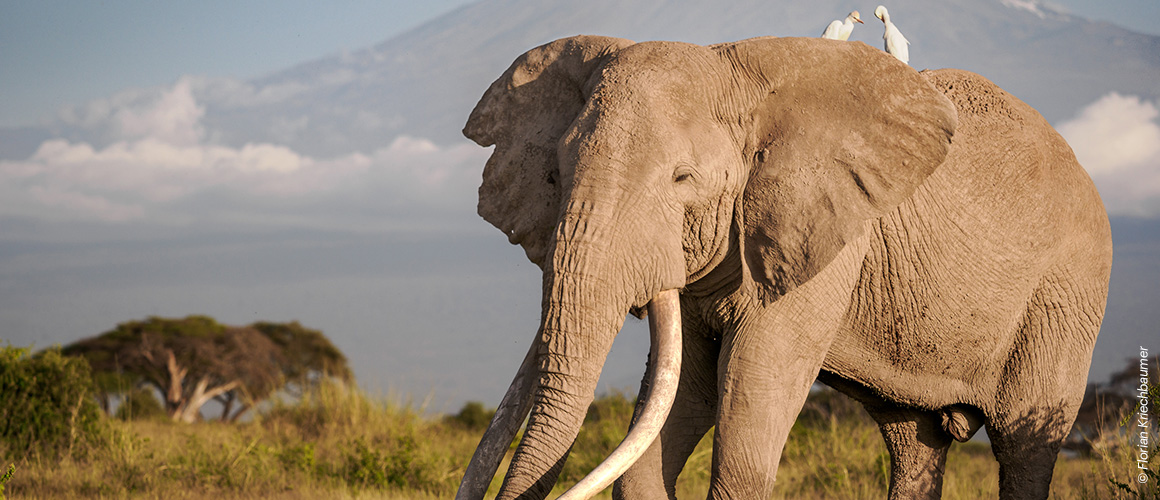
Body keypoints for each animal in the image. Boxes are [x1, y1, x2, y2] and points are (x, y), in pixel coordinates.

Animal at [455, 34, 1112, 500]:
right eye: (555, 174)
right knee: (914, 444)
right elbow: (681, 396)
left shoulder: (828, 237)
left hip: (1067, 294)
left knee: (1025, 447)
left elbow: (747, 421)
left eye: (683, 178)